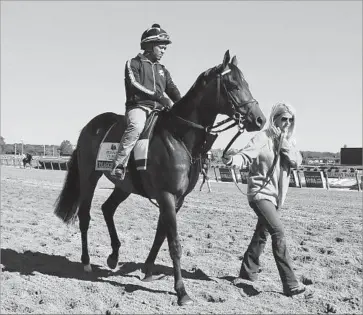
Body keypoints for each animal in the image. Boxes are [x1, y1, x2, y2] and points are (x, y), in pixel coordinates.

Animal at [54, 51, 268, 306]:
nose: (259, 119)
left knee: (107, 209)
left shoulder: (177, 199)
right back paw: (86, 262)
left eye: (246, 83)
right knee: (85, 216)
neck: (179, 136)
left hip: (124, 186)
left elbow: (160, 234)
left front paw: (147, 270)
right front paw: (182, 292)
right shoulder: (166, 195)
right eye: (233, 85)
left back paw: (114, 256)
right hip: (89, 178)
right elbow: (174, 242)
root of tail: (88, 127)